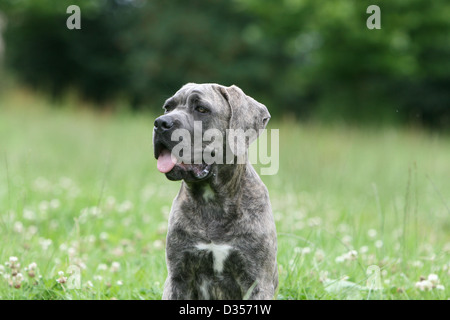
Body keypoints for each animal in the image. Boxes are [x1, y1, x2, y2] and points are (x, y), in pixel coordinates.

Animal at [153, 82, 276, 300]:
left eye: (202, 109)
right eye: (168, 108)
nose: (160, 123)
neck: (212, 201)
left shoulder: (258, 281)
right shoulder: (178, 277)